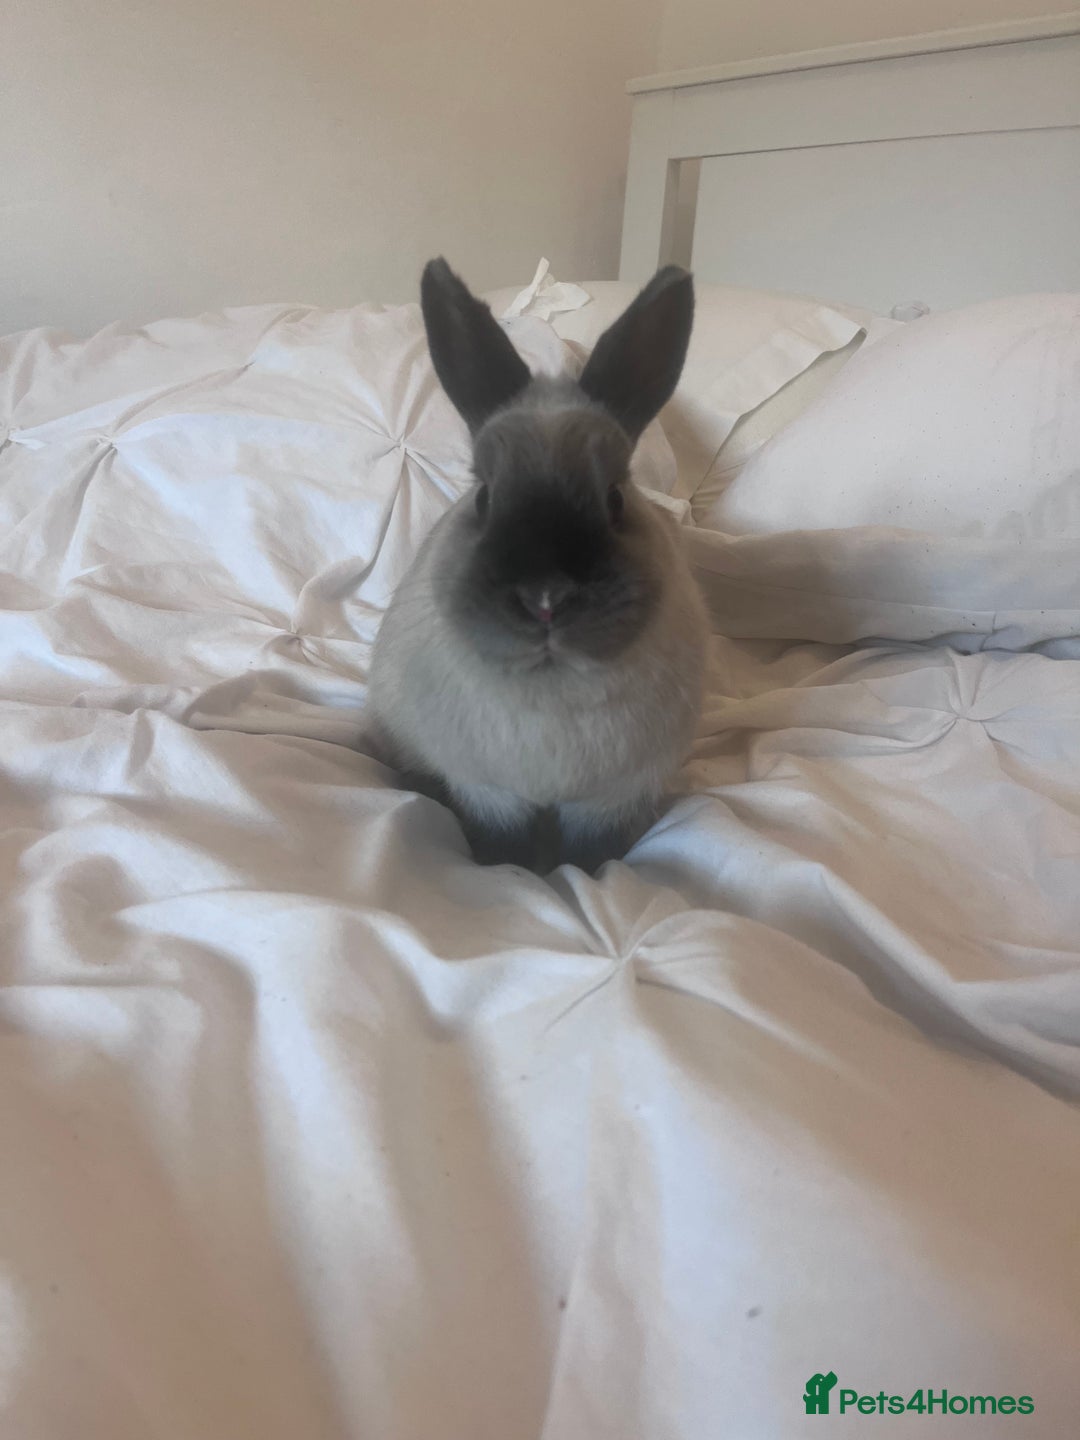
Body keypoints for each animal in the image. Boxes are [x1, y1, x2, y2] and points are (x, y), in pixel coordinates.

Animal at [367, 258, 708, 872]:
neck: (554, 685)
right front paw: (513, 872)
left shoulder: (610, 799)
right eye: (483, 496)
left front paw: (585, 874)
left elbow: (592, 848)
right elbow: (501, 839)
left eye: (615, 499)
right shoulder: (488, 790)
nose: (546, 599)